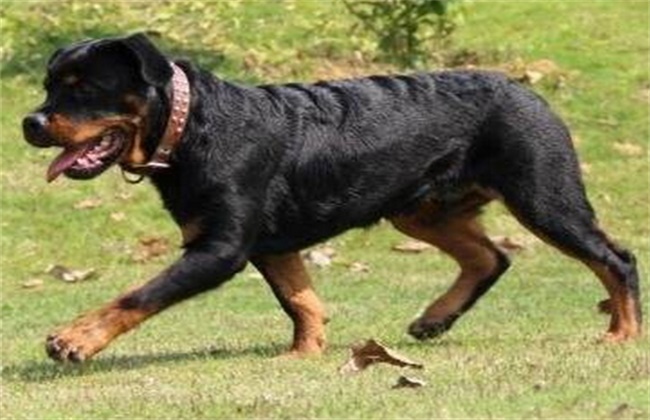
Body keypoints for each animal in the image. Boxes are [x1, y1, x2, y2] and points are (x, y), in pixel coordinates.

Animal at [23, 34, 641, 362]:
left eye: (84, 88)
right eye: (49, 86)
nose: (31, 121)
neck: (188, 125)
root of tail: (522, 86)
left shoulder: (220, 247)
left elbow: (137, 295)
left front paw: (75, 338)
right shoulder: (270, 245)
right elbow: (302, 300)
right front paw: (304, 353)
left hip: (543, 194)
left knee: (615, 257)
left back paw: (623, 332)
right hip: (420, 208)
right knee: (490, 256)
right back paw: (434, 320)